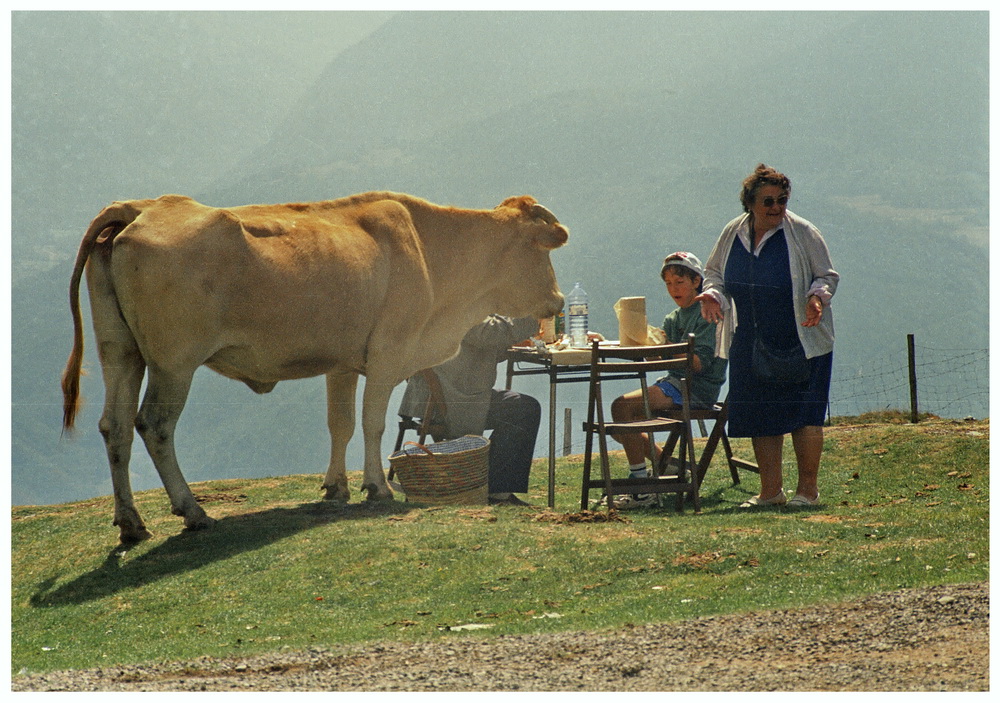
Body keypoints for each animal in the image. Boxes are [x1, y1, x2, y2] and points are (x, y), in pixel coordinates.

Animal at [58, 192, 568, 544]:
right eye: (541, 250)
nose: (560, 302)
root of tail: (142, 207)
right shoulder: (388, 355)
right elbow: (373, 423)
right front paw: (376, 488)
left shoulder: (340, 363)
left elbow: (339, 424)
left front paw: (334, 488)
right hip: (173, 364)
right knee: (154, 425)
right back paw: (193, 512)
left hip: (120, 353)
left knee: (115, 427)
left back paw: (131, 524)